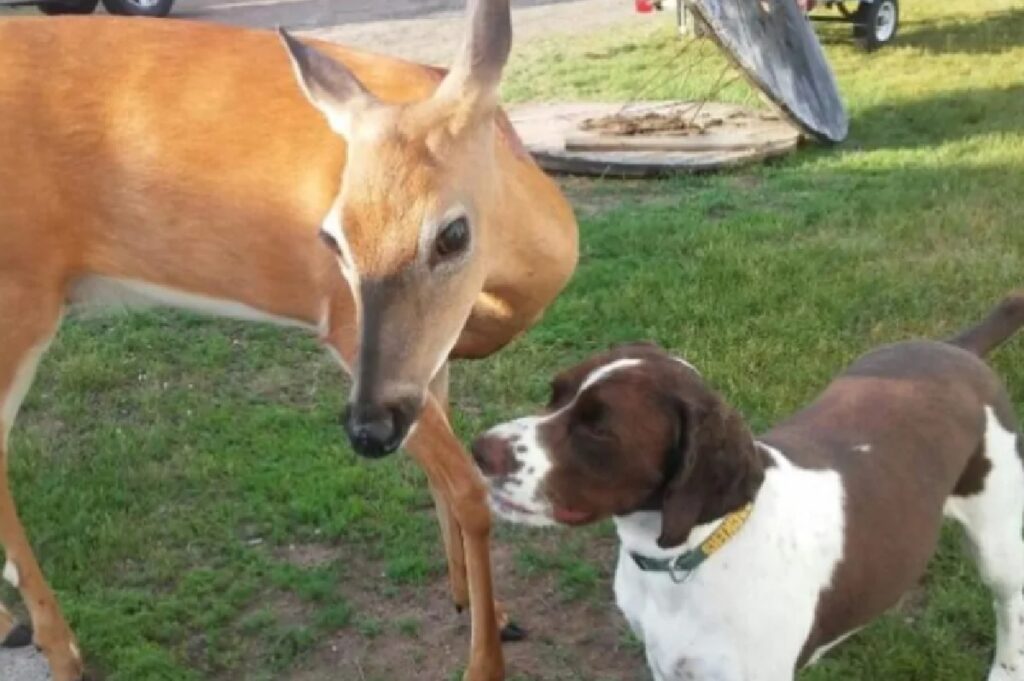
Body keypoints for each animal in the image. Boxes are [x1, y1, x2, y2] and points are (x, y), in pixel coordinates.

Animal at [0, 1, 577, 679]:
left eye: (453, 234)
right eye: (332, 239)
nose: (366, 431)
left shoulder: (430, 359)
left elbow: (445, 484)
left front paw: (478, 605)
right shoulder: (349, 330)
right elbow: (469, 491)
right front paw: (485, 658)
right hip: (18, 296)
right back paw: (61, 649)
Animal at [475, 292, 1024, 679]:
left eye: (598, 429)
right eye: (555, 392)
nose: (480, 449)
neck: (683, 559)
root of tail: (956, 349)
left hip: (997, 543)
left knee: (1009, 607)